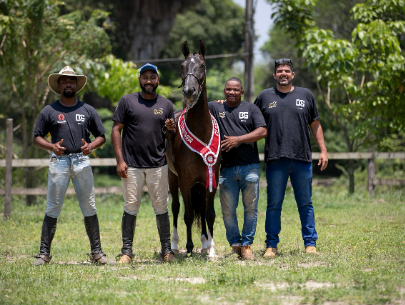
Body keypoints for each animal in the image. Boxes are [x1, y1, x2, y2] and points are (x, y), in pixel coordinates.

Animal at [165, 39, 221, 254]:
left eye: (202, 66)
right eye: (182, 66)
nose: (189, 91)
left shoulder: (211, 179)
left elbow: (209, 213)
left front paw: (211, 249)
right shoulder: (185, 181)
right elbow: (187, 214)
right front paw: (189, 247)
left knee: (202, 209)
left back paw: (204, 243)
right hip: (172, 179)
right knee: (176, 208)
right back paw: (175, 244)